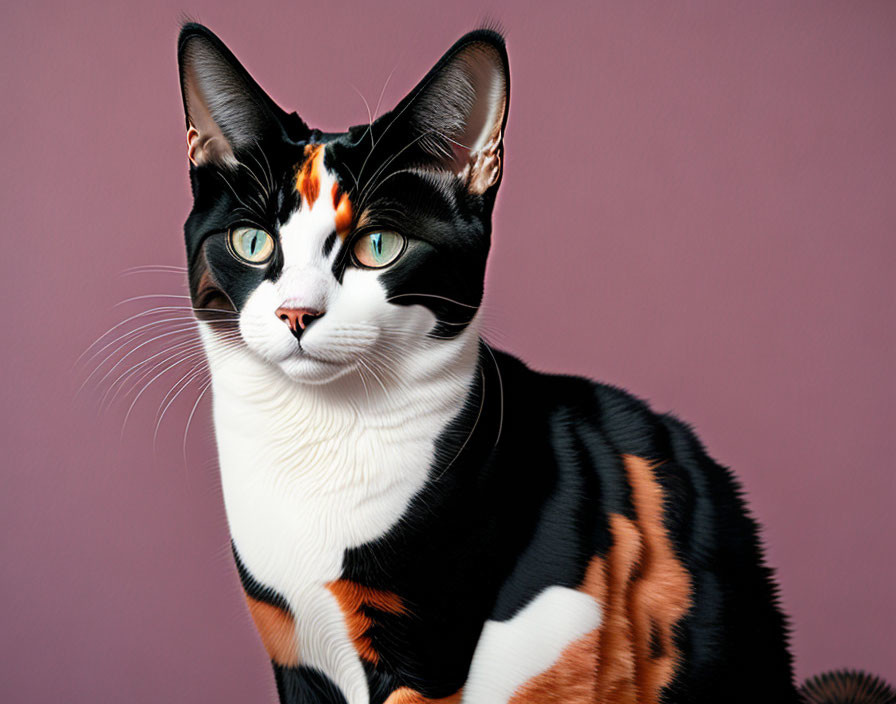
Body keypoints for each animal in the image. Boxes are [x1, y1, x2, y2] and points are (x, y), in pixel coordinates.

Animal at [177, 20, 896, 704]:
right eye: (252, 242)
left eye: (379, 246)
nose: (296, 314)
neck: (316, 444)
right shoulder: (291, 646)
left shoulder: (428, 645)